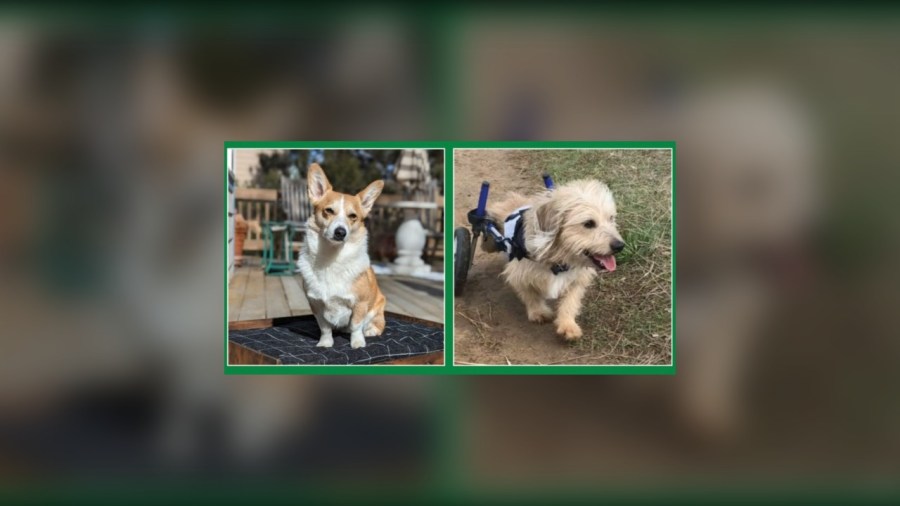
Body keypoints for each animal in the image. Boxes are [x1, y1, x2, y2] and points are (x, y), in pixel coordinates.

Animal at [298, 164, 386, 350]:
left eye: (353, 216)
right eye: (329, 211)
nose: (340, 232)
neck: (332, 257)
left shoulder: (360, 304)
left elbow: (356, 325)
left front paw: (357, 343)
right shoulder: (316, 305)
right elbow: (324, 327)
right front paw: (325, 343)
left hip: (379, 305)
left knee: (377, 323)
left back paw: (371, 331)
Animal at [486, 180, 624, 342]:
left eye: (611, 218)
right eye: (588, 223)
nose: (620, 246)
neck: (558, 261)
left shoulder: (576, 279)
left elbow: (570, 301)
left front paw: (568, 325)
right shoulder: (518, 272)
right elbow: (530, 294)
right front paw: (538, 311)